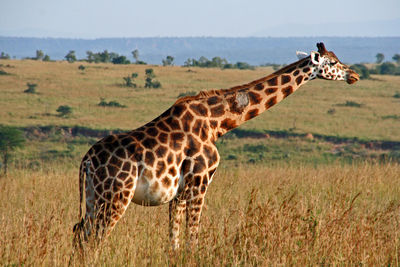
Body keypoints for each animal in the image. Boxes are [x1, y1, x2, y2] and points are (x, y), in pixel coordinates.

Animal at [72, 42, 360, 251]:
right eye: (333, 62)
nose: (354, 75)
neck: (217, 123)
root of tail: (86, 160)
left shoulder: (180, 192)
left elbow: (174, 243)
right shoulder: (200, 183)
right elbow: (192, 240)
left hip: (93, 196)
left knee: (80, 234)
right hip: (115, 195)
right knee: (95, 240)